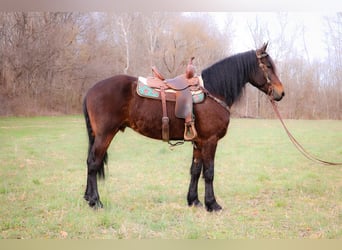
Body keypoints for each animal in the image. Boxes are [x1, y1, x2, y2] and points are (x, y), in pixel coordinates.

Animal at [82, 43, 284, 211]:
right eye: (267, 66)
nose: (281, 93)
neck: (213, 92)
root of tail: (91, 90)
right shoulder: (210, 141)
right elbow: (209, 172)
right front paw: (212, 204)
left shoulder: (198, 142)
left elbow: (195, 170)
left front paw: (194, 200)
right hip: (105, 135)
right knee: (94, 163)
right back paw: (96, 202)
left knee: (90, 161)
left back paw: (88, 198)